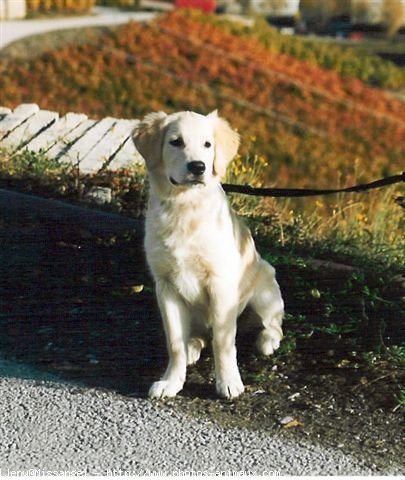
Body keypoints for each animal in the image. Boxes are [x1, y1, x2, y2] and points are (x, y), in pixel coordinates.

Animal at [133, 110, 284, 400]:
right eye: (176, 142)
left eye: (207, 144)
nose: (198, 167)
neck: (185, 206)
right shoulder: (165, 286)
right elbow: (174, 342)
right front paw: (171, 382)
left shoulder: (220, 285)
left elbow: (224, 343)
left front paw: (228, 382)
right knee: (199, 336)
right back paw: (192, 345)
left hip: (264, 288)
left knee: (273, 324)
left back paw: (267, 341)